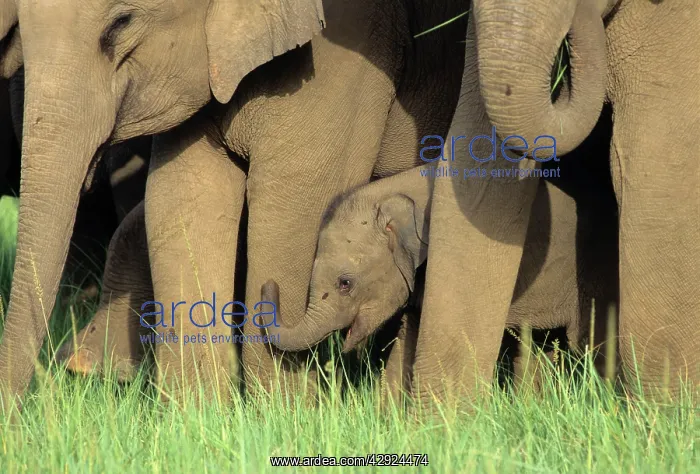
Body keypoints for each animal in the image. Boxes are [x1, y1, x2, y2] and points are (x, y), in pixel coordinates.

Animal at [0, 0, 468, 411]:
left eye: (121, 24)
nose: (21, 422)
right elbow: (180, 202)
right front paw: (197, 424)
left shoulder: (347, 44)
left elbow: (294, 207)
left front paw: (281, 420)